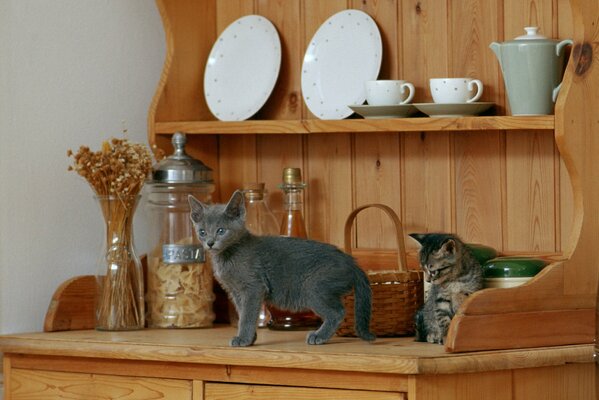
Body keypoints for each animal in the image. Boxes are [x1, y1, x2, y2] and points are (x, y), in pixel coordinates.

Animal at [189, 191, 376, 346]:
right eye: (202, 232)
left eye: (221, 230)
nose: (210, 243)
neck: (228, 255)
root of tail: (351, 262)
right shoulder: (236, 292)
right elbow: (244, 313)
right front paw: (250, 338)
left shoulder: (253, 288)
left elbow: (248, 315)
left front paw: (244, 339)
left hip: (314, 287)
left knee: (338, 312)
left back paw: (318, 336)